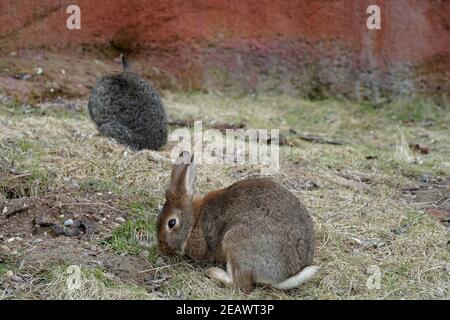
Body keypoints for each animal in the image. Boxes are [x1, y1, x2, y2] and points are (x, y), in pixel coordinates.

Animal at [156, 151, 318, 294]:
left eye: (171, 223)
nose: (162, 247)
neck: (194, 219)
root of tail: (285, 275)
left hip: (235, 241)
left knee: (243, 286)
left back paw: (214, 273)